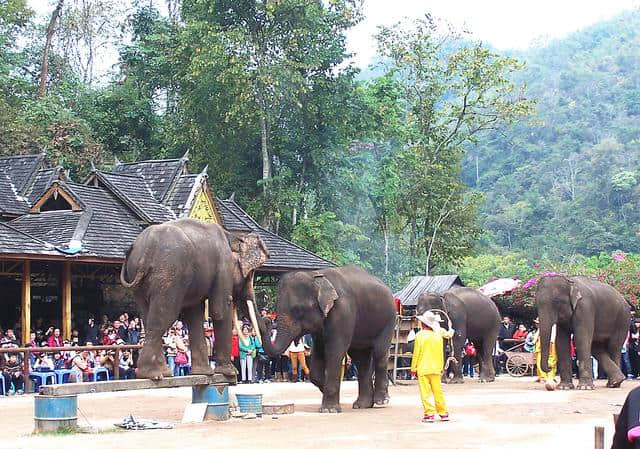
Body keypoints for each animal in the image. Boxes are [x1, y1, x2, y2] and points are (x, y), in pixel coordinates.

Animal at [120, 219, 270, 380]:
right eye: (250, 275)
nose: (267, 319)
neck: (232, 235)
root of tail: (144, 249)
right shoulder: (223, 269)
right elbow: (219, 311)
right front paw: (229, 373)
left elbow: (194, 314)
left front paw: (203, 373)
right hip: (170, 275)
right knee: (163, 318)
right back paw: (152, 374)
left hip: (140, 281)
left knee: (148, 318)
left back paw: (163, 373)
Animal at [254, 266, 396, 412]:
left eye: (298, 310)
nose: (267, 320)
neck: (315, 275)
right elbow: (318, 355)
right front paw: (331, 397)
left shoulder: (343, 311)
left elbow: (334, 352)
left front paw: (329, 409)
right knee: (360, 359)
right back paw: (362, 405)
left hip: (389, 319)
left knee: (379, 353)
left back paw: (381, 401)